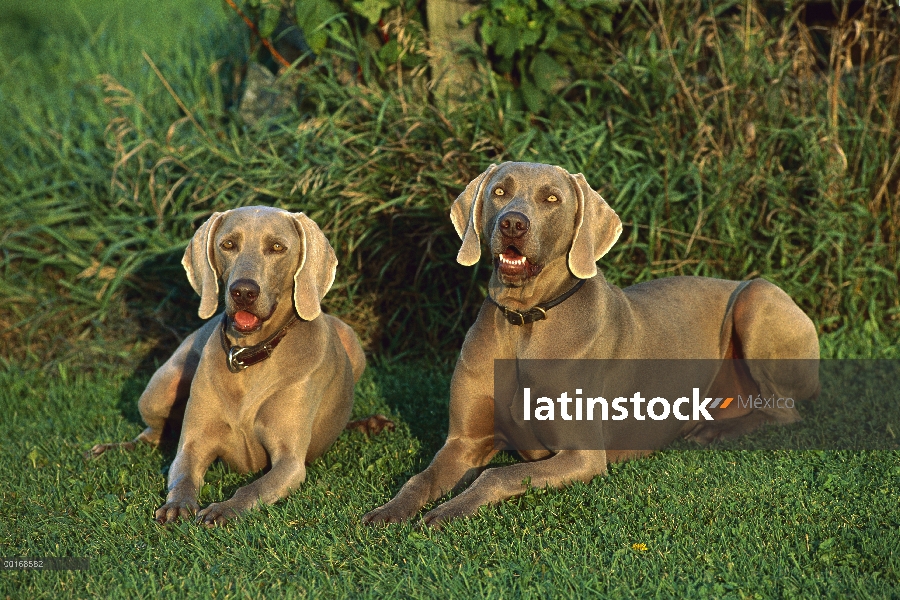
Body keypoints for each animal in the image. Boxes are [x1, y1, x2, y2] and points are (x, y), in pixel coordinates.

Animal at [91, 206, 390, 524]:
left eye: (277, 247)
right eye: (228, 244)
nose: (243, 292)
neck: (248, 356)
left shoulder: (289, 462)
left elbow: (252, 488)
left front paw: (223, 509)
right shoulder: (193, 445)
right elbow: (182, 475)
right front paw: (177, 504)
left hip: (353, 343)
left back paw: (370, 423)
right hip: (158, 390)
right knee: (152, 433)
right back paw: (109, 449)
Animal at [362, 162, 820, 528]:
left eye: (551, 198)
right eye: (499, 191)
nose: (513, 224)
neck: (524, 323)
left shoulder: (582, 456)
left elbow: (497, 474)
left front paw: (447, 511)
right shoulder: (463, 442)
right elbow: (421, 477)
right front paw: (388, 511)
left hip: (757, 298)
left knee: (785, 412)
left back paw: (713, 432)